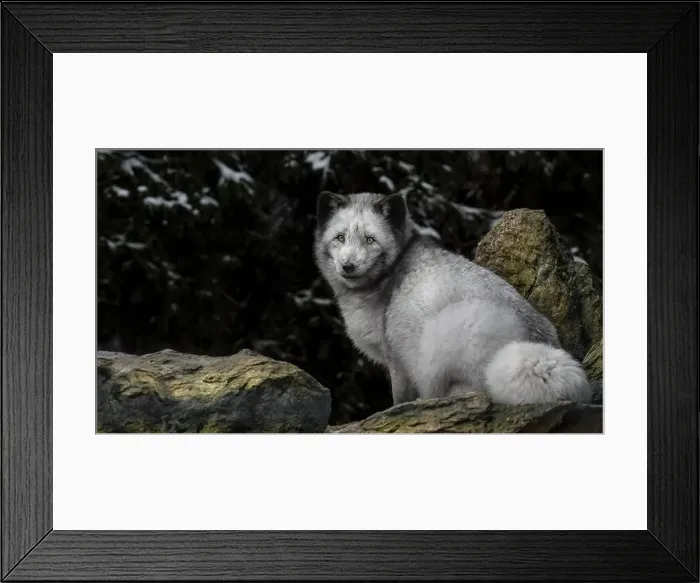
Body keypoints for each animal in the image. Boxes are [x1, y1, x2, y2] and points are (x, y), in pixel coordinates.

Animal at [313, 190, 592, 406]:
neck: (386, 277)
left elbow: (398, 397)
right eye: (340, 238)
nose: (348, 266)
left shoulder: (397, 356)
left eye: (370, 240)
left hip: (448, 330)